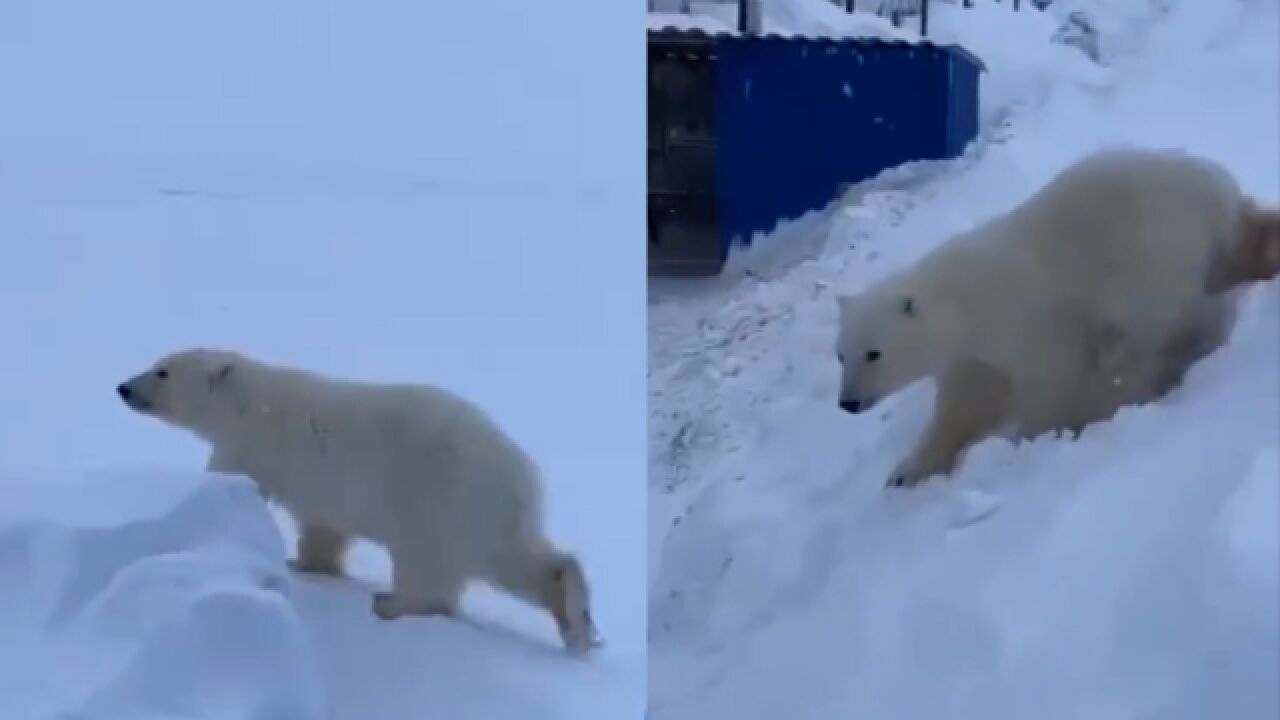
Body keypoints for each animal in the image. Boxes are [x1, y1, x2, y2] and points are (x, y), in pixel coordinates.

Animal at [113, 348, 599, 650]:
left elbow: (231, 479)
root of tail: (523, 475)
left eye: (162, 370)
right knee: (519, 559)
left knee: (430, 568)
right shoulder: (322, 488)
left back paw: (391, 603)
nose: (123, 388)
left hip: (436, 497)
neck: (250, 399)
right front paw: (305, 562)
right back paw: (576, 619)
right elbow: (324, 528)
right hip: (483, 511)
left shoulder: (255, 442)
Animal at [829, 144, 1269, 486]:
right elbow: (965, 402)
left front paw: (1031, 439)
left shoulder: (1026, 319)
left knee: (1170, 330)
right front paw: (906, 471)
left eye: (873, 353)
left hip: (1160, 260)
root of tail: (1227, 193)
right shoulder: (973, 355)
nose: (848, 403)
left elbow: (1051, 381)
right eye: (840, 355)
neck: (965, 298)